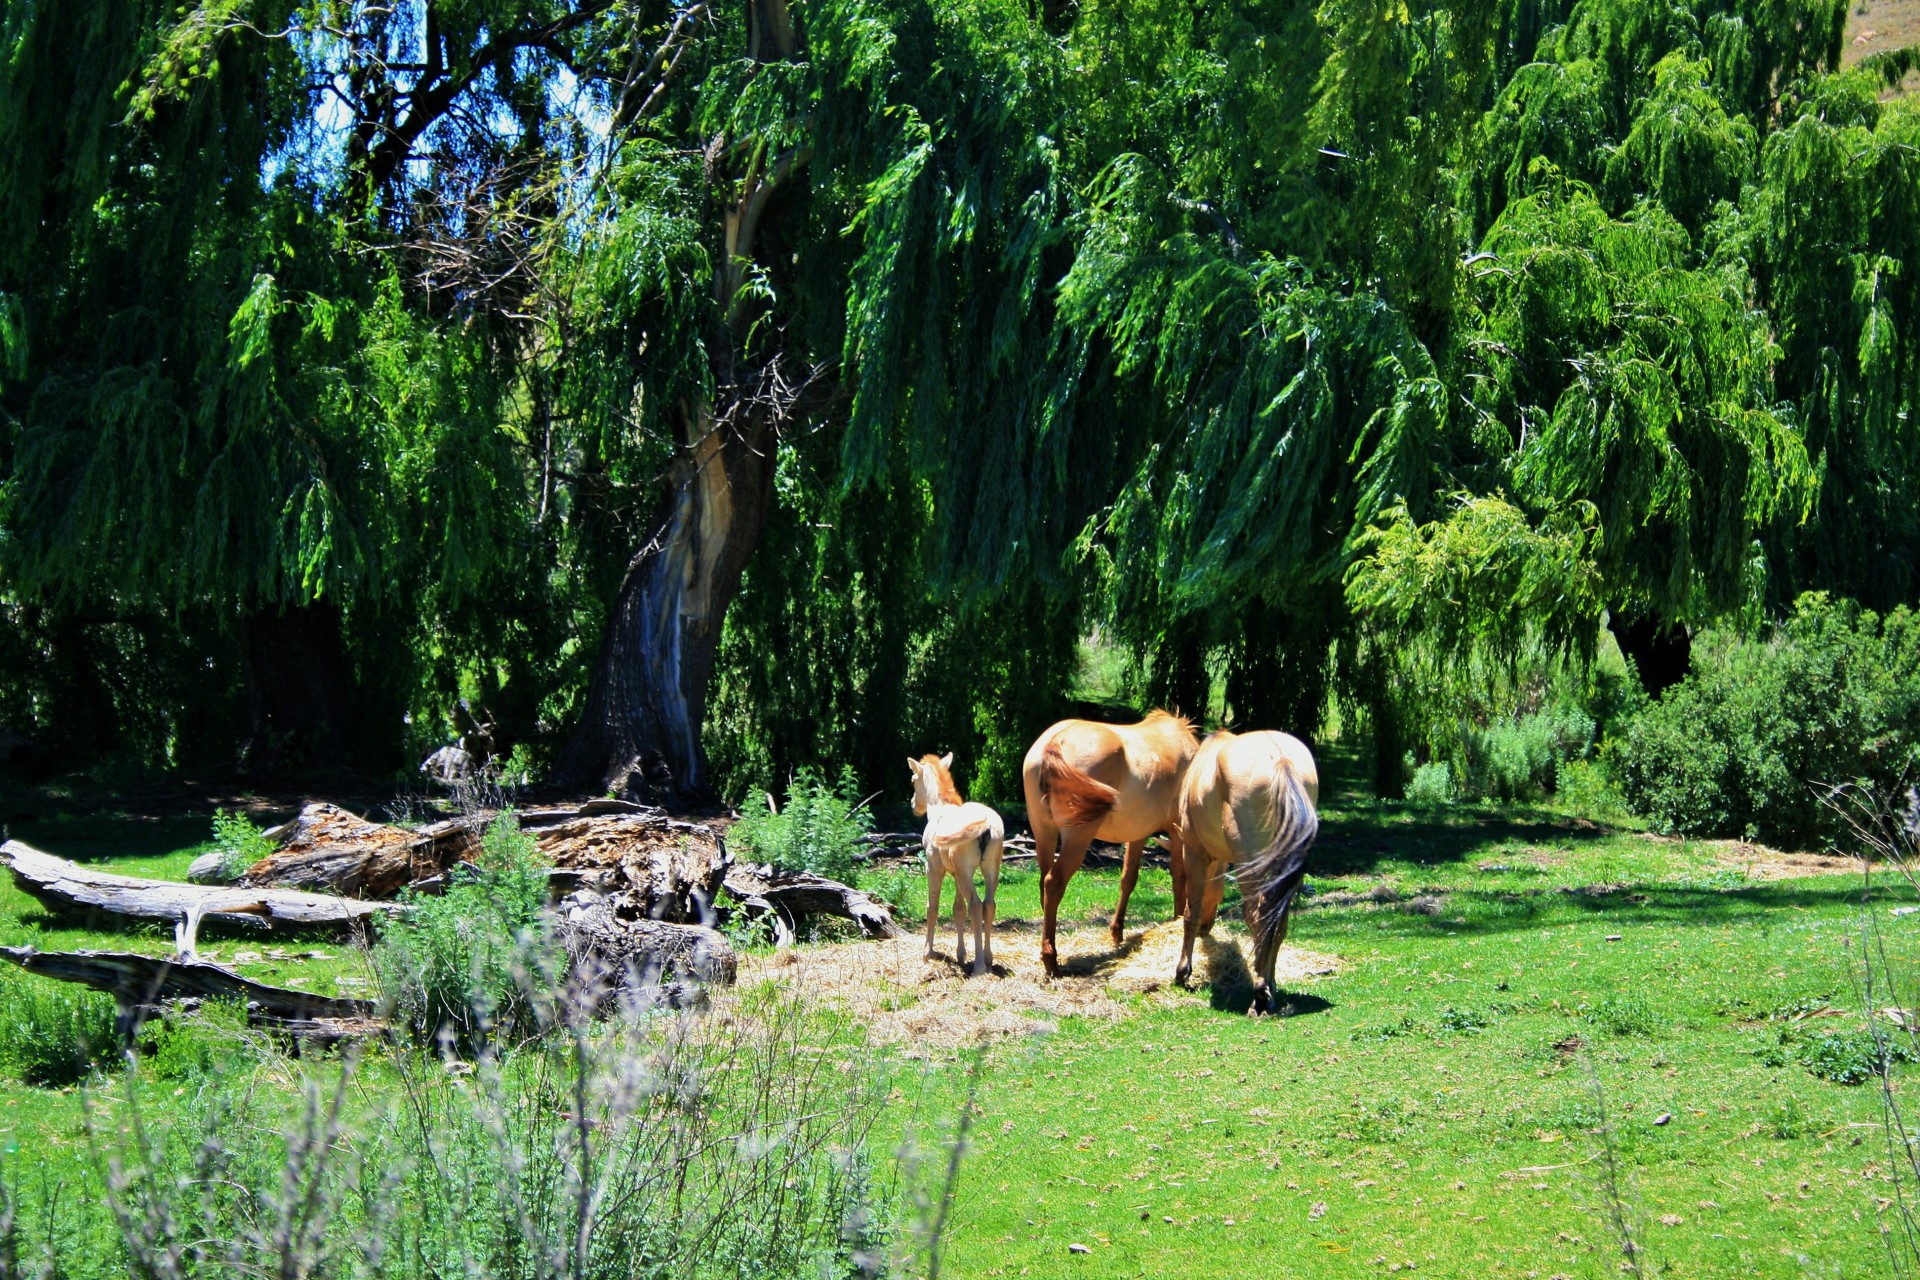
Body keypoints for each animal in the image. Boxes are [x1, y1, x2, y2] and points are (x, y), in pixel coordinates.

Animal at [910, 752, 1013, 971]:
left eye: (913, 780)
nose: (914, 805)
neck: (939, 810)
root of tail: (985, 823)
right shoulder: (956, 872)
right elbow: (958, 909)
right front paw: (961, 955)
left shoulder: (933, 867)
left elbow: (932, 907)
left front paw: (927, 953)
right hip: (991, 867)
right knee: (989, 904)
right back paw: (988, 958)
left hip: (966, 870)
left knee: (976, 905)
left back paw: (980, 965)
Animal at [1021, 717, 1198, 974]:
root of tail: (1055, 740)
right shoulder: (1177, 831)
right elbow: (1179, 878)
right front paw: (1175, 920)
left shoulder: (1138, 833)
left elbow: (1128, 878)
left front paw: (1117, 931)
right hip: (1077, 837)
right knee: (1054, 882)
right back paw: (1050, 958)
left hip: (1043, 832)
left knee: (1044, 883)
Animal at [1167, 729, 1320, 1013]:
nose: (1207, 928)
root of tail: (1281, 760)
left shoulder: (1194, 852)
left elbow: (1191, 912)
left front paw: (1183, 972)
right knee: (1277, 920)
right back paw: (1268, 987)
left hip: (1248, 867)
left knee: (1258, 916)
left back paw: (1259, 995)